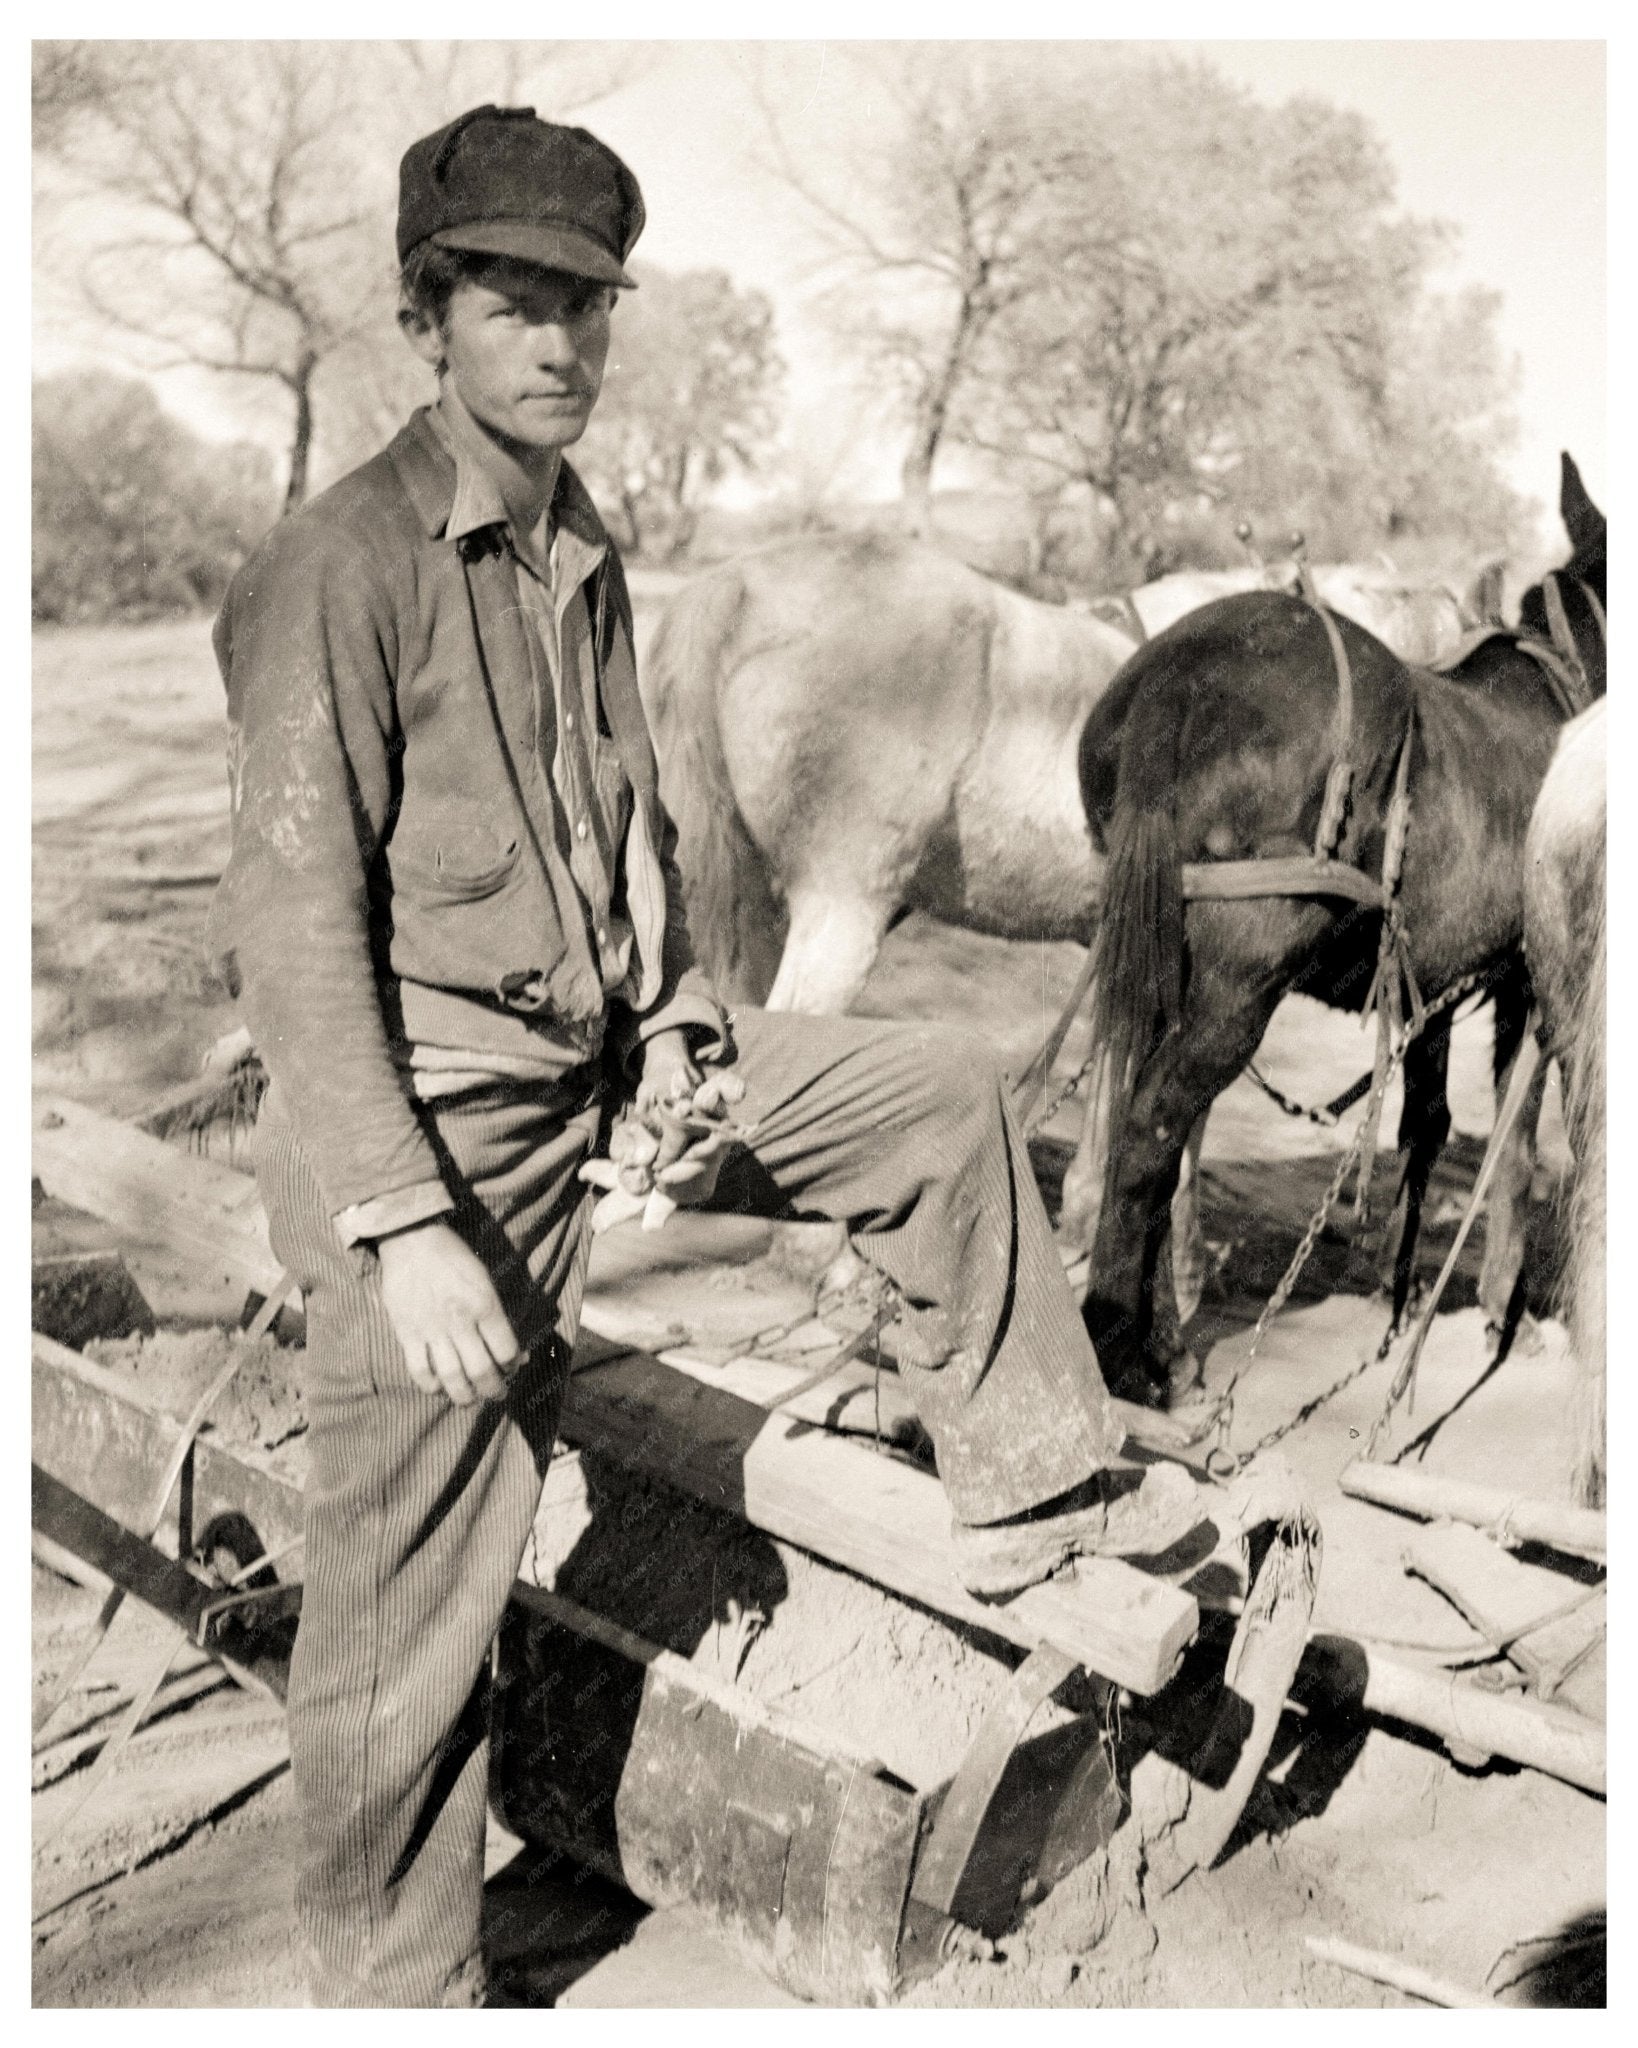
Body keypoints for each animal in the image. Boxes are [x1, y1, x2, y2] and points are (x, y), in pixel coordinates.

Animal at [1081, 448, 1605, 1409]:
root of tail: (1179, 675)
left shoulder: (1434, 984)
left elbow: (1427, 1124)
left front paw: (1401, 1306)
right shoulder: (1531, 987)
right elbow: (1515, 1145)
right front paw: (1496, 1311)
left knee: (1149, 1122)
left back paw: (1158, 1341)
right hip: (1237, 987)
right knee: (1150, 1131)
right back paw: (1118, 1351)